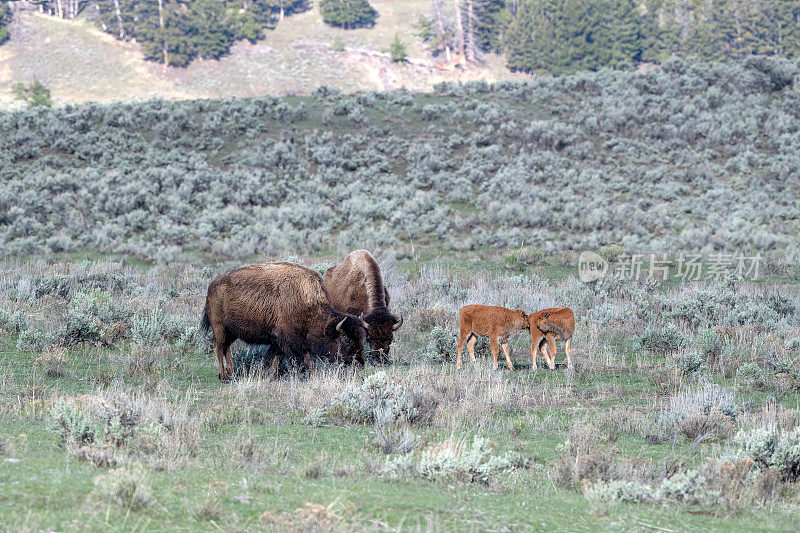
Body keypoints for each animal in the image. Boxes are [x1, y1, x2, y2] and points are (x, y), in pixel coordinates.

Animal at [198, 260, 368, 378]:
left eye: (362, 337)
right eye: (346, 340)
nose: (360, 363)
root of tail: (212, 284)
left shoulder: (282, 342)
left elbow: (278, 359)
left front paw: (271, 376)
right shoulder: (288, 341)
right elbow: (298, 360)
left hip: (232, 332)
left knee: (226, 348)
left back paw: (232, 372)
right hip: (219, 327)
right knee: (219, 347)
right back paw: (224, 376)